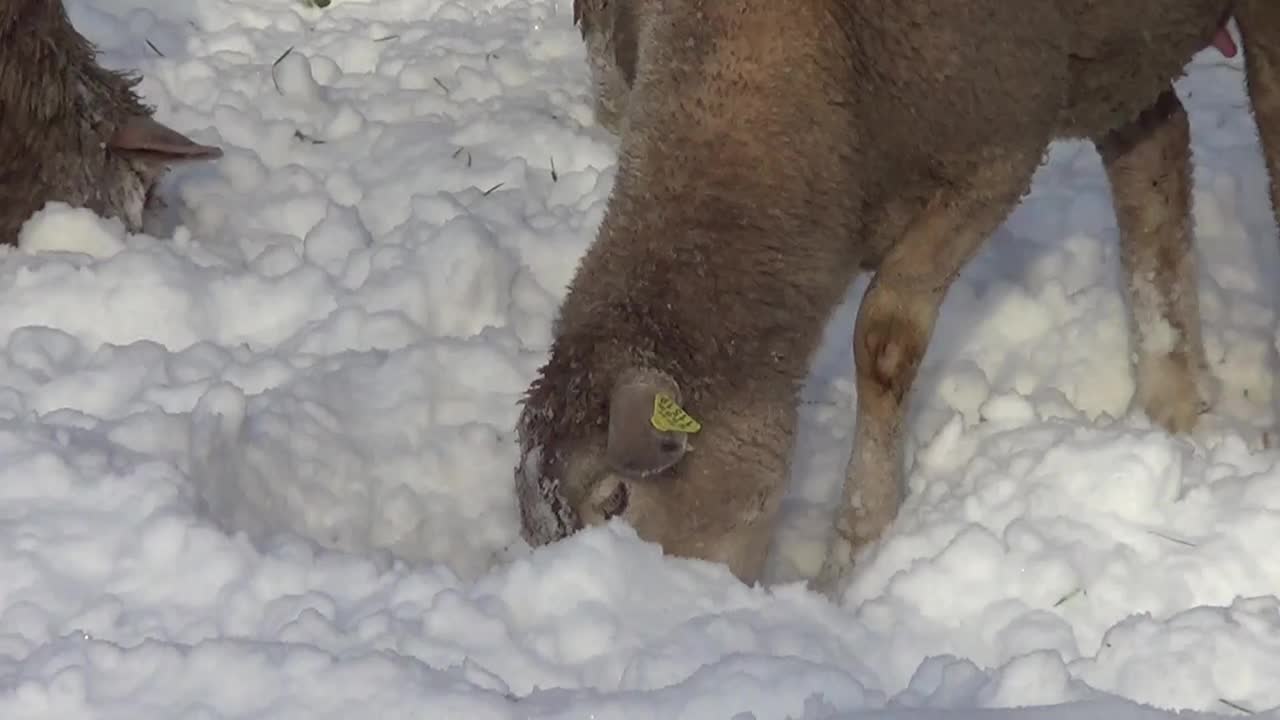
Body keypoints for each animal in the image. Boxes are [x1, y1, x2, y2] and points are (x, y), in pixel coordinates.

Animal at [512, 0, 1280, 594]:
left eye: (616, 500)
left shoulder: (996, 149)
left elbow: (883, 339)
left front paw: (855, 551)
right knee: (1156, 156)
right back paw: (1172, 405)